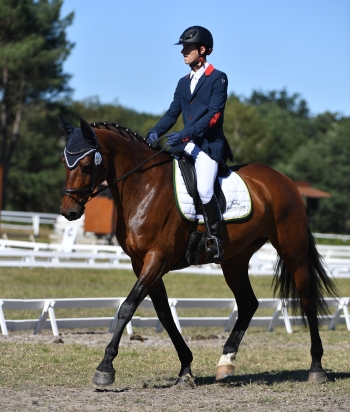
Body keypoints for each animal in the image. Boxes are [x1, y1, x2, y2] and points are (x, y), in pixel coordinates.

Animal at [58, 116, 338, 390]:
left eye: (86, 165)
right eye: (65, 162)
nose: (69, 212)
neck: (143, 186)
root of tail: (284, 180)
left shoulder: (156, 259)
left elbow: (128, 307)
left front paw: (105, 368)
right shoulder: (141, 263)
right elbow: (164, 314)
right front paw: (185, 370)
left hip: (293, 251)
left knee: (307, 299)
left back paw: (316, 368)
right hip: (235, 260)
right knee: (248, 303)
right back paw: (225, 362)